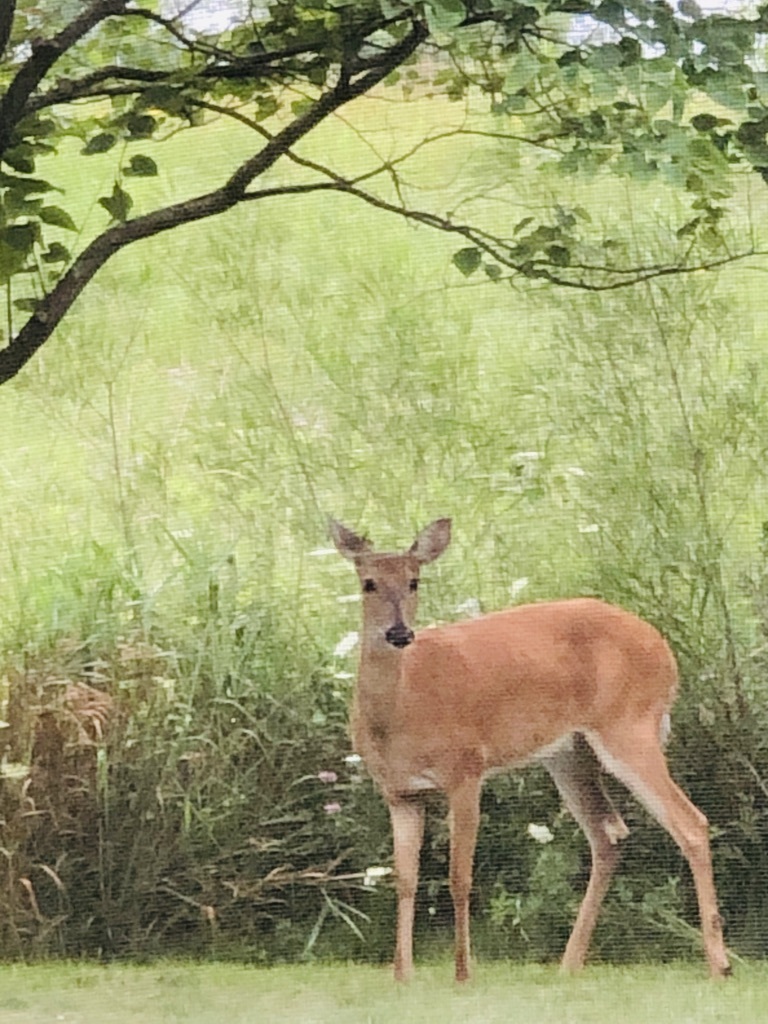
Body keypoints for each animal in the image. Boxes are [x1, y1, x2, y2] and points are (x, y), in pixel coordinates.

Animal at [329, 520, 729, 983]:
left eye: (414, 581)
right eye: (368, 583)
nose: (399, 633)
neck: (401, 712)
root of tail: (664, 649)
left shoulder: (467, 767)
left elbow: (459, 876)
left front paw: (462, 973)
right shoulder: (400, 793)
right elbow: (405, 879)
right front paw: (401, 975)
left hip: (628, 725)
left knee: (691, 823)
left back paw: (719, 964)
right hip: (568, 754)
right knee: (608, 834)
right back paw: (569, 964)